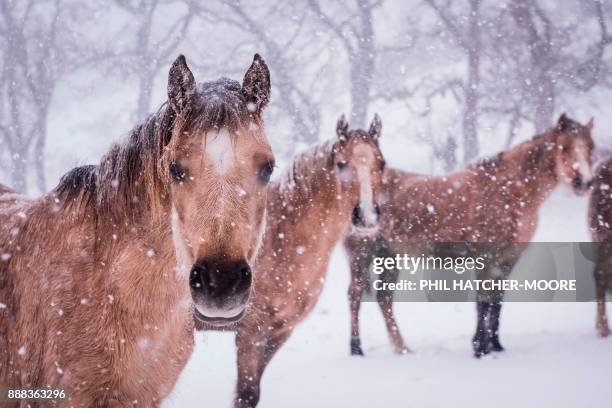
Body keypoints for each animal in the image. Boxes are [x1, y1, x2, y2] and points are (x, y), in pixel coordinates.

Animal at [196, 113, 384, 406]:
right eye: (342, 164)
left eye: (381, 163)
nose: (366, 216)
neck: (282, 236)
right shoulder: (250, 333)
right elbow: (246, 395)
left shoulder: (279, 332)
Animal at [346, 114, 596, 356]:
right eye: (565, 146)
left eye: (590, 146)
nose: (584, 182)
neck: (510, 192)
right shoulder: (486, 258)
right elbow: (483, 302)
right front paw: (479, 348)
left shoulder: (508, 259)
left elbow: (497, 301)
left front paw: (496, 346)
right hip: (361, 255)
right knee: (355, 296)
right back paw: (357, 349)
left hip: (388, 255)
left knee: (384, 298)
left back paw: (402, 349)